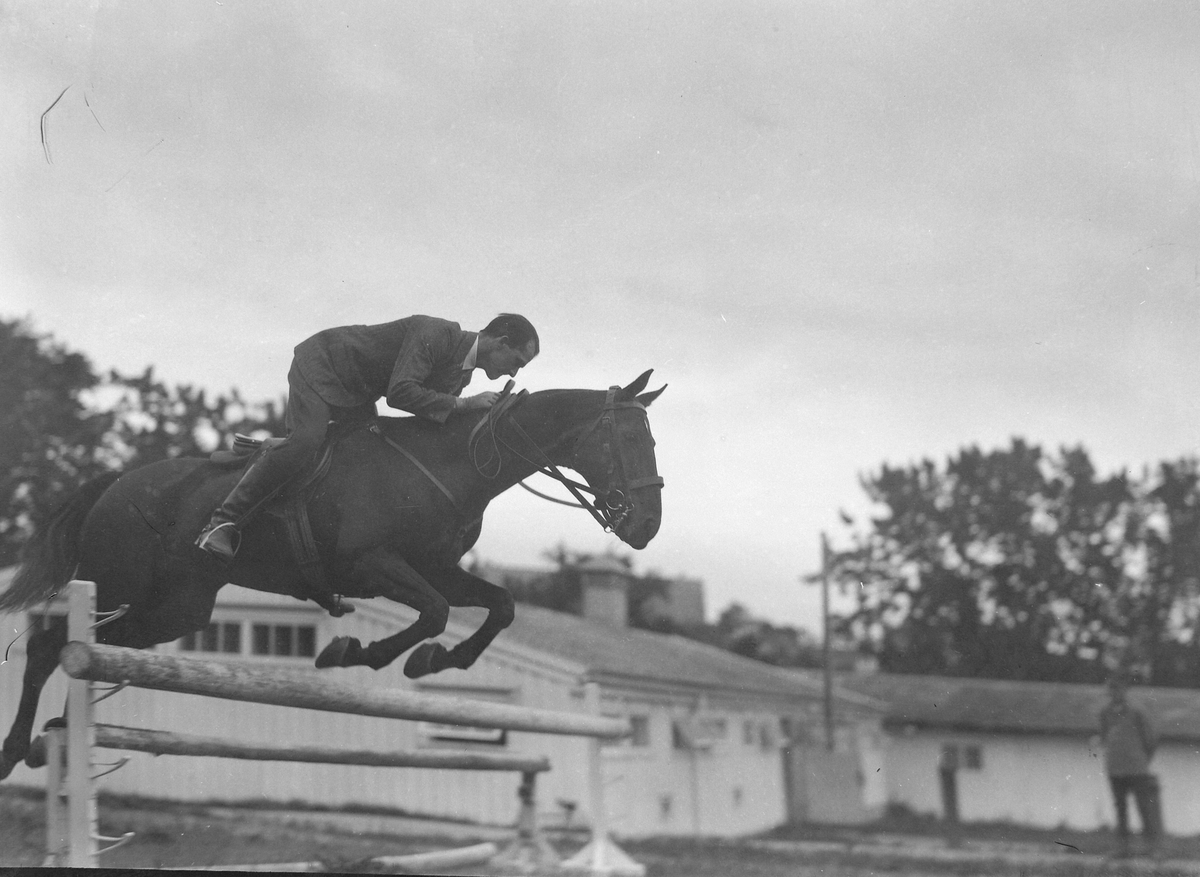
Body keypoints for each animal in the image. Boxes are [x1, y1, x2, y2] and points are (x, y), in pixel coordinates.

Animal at [0, 369, 667, 782]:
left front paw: (436, 661)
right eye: (624, 439)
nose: (647, 526)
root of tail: (113, 485)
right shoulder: (375, 563)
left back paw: (55, 731)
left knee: (76, 648)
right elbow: (434, 613)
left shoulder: (434, 568)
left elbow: (497, 605)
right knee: (53, 646)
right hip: (122, 588)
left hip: (178, 608)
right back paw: (19, 748)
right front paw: (356, 653)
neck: (454, 460)